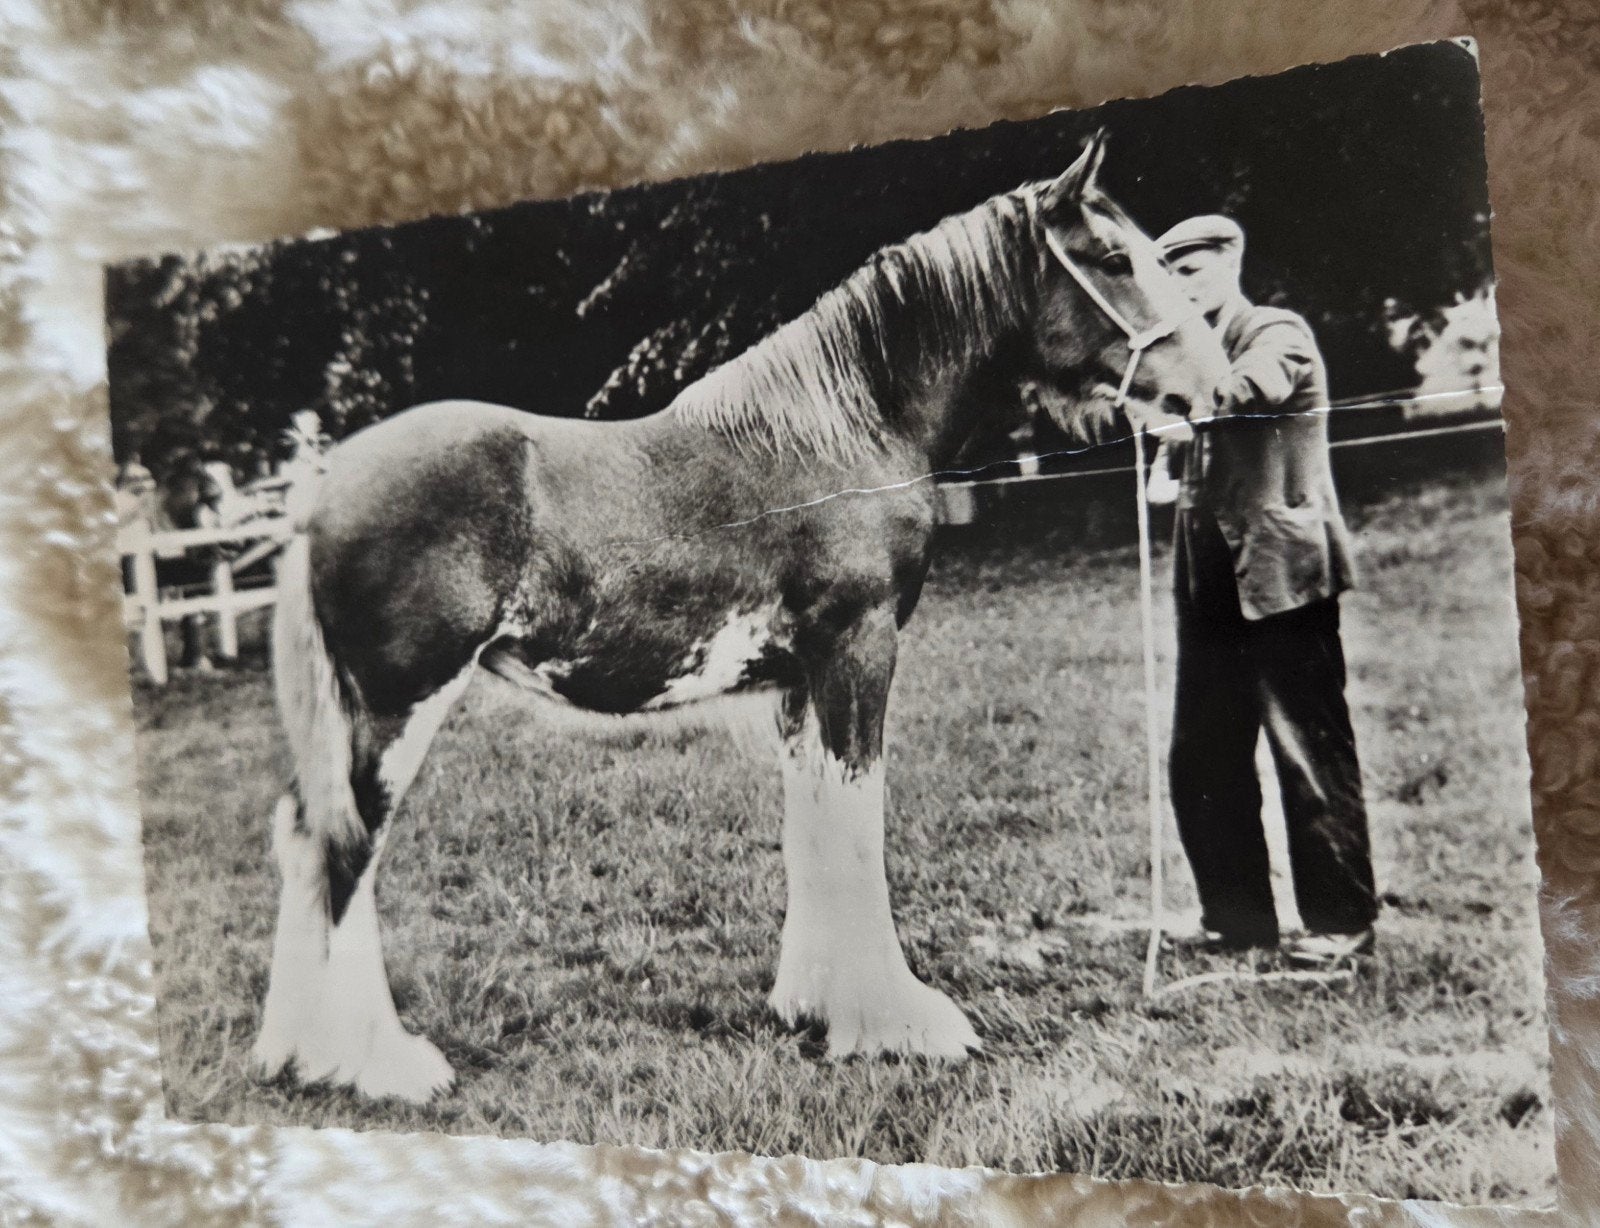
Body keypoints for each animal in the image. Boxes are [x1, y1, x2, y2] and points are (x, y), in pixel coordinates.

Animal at [249, 132, 1233, 1103]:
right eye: (1114, 258)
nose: (1212, 391)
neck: (842, 435)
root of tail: (323, 488)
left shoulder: (798, 679)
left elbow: (815, 823)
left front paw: (814, 1004)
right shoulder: (859, 649)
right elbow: (856, 817)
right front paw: (897, 1024)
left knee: (304, 837)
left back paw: (298, 1052)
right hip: (398, 706)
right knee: (345, 851)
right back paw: (380, 1066)